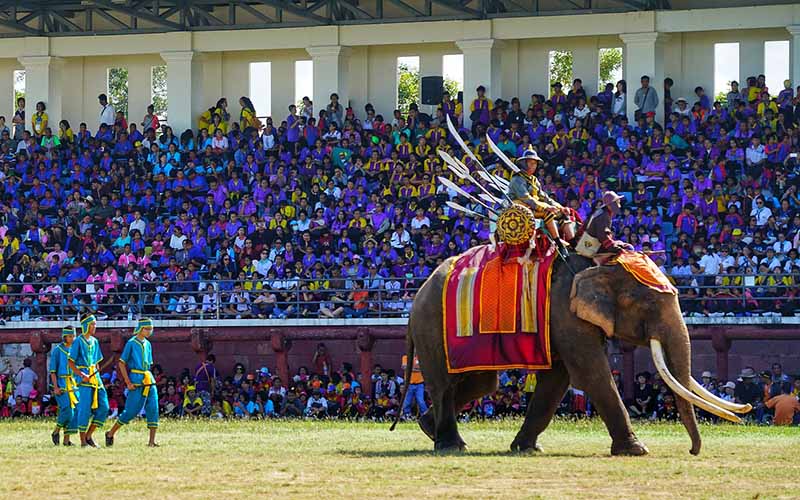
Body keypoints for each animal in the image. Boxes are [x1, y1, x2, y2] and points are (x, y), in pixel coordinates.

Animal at [396, 254, 752, 458]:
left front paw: (527, 449)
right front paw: (636, 450)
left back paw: (429, 428)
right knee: (447, 385)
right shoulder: (564, 311)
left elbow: (558, 379)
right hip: (433, 327)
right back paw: (450, 444)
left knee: (482, 383)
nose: (692, 451)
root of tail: (415, 299)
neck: (599, 263)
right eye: (650, 304)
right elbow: (591, 373)